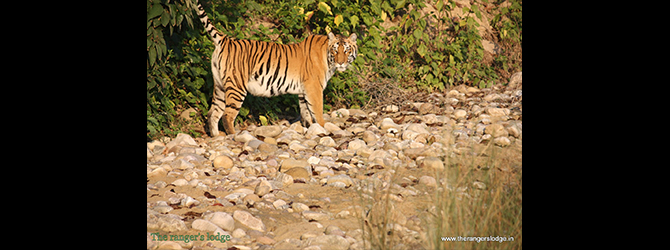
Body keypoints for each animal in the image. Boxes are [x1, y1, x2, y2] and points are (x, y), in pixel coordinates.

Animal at [197, 1, 360, 137]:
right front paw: (322, 128)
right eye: (335, 50)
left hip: (219, 86)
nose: (340, 63)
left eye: (346, 51)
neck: (327, 58)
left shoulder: (303, 91)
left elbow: (306, 113)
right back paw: (232, 135)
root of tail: (226, 40)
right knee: (227, 115)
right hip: (237, 86)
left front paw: (309, 129)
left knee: (212, 113)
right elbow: (317, 112)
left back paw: (215, 136)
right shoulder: (314, 88)